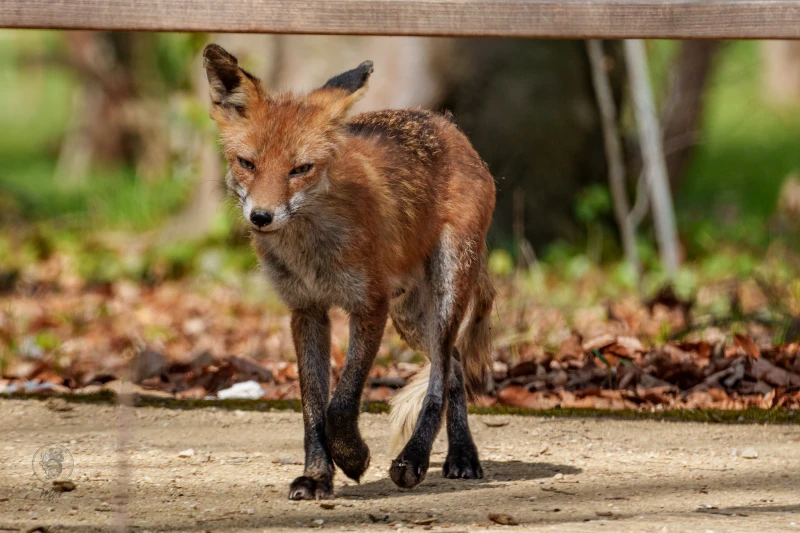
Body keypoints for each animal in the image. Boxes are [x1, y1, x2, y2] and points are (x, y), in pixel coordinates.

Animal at [202, 43, 496, 500]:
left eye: (300, 169)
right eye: (246, 163)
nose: (261, 217)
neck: (311, 253)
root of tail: (447, 125)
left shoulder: (369, 305)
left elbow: (340, 405)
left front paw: (354, 458)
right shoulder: (306, 310)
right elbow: (313, 406)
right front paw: (317, 476)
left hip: (446, 287)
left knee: (441, 374)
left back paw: (419, 459)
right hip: (412, 318)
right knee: (454, 366)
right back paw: (459, 454)